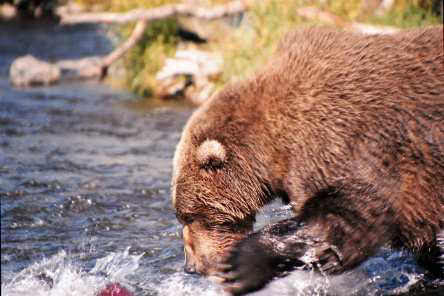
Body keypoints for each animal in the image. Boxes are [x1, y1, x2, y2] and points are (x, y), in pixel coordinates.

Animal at [171, 26, 444, 294]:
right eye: (183, 216)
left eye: (192, 216)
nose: (191, 267)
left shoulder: (353, 141)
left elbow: (355, 216)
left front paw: (240, 265)